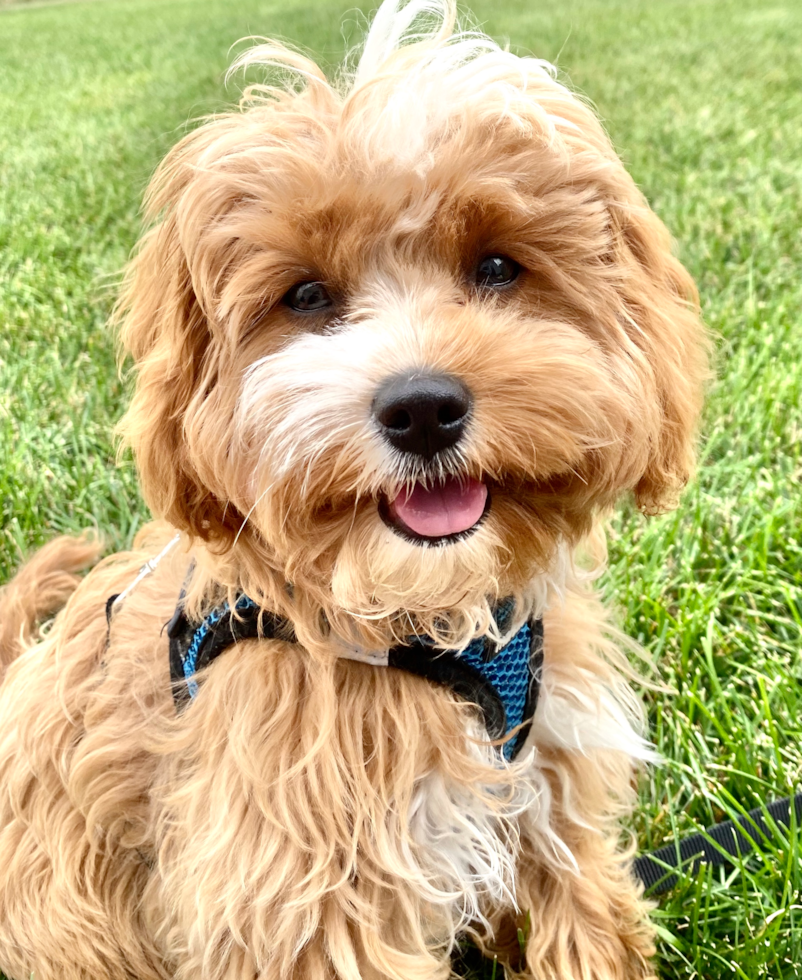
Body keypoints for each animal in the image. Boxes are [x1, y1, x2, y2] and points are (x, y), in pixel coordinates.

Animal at [0, 1, 704, 980]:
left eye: (496, 268)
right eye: (305, 296)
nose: (422, 409)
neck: (423, 625)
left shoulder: (555, 794)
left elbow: (583, 917)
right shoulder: (298, 890)